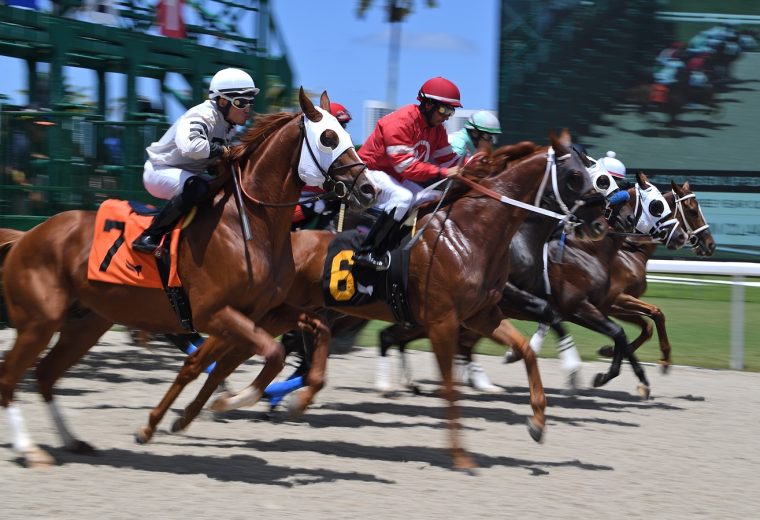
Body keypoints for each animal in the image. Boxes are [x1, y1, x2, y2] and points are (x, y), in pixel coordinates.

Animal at [0, 88, 378, 468]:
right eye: (328, 137)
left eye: (346, 136)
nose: (368, 189)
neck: (248, 225)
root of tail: (27, 235)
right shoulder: (216, 313)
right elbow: (265, 355)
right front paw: (229, 402)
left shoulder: (260, 313)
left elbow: (307, 334)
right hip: (40, 320)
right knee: (10, 375)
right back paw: (28, 449)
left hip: (85, 324)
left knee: (45, 374)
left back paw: (71, 440)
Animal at [165, 133, 604, 468]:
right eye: (575, 175)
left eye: (594, 174)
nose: (601, 219)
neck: (470, 231)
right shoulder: (443, 321)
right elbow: (449, 387)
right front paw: (461, 455)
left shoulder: (483, 315)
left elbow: (527, 353)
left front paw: (539, 422)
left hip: (290, 312)